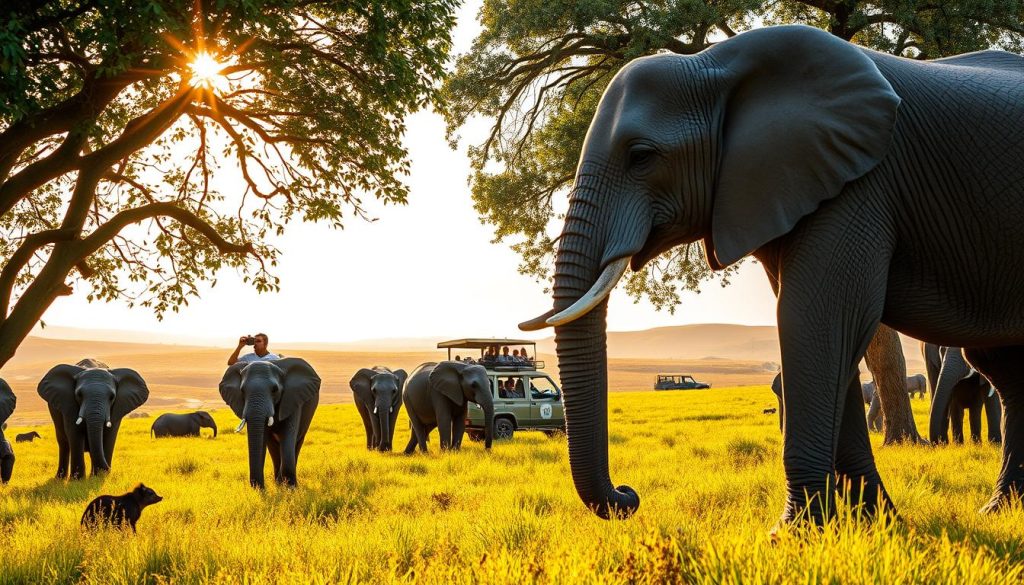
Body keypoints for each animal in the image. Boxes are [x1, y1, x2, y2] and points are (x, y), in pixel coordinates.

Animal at [219, 358, 320, 488]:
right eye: (242, 391)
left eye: (274, 390)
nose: (260, 487)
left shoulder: (292, 399)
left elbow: (288, 436)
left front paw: (290, 488)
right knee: (273, 446)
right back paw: (278, 483)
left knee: (297, 443)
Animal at [518, 25, 1024, 521]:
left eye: (641, 156)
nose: (628, 495)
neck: (715, 64)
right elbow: (825, 328)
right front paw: (874, 524)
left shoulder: (859, 182)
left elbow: (814, 318)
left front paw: (797, 531)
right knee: (1006, 372)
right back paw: (998, 510)